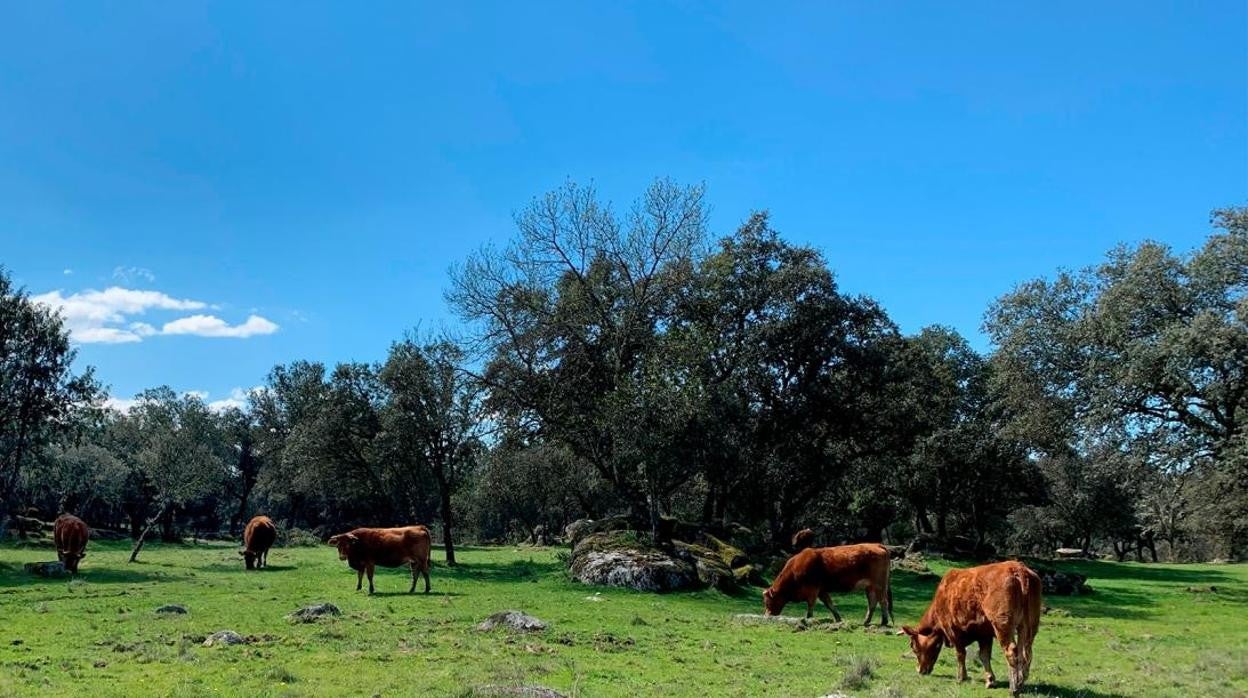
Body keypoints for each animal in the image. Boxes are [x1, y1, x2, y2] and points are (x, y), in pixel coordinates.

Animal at [753, 544, 893, 624]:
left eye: (767, 602)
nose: (766, 616)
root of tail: (877, 545)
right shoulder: (822, 590)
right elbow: (829, 604)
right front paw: (838, 619)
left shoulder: (813, 590)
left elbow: (811, 606)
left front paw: (808, 619)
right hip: (870, 587)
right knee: (873, 602)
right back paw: (866, 621)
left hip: (879, 584)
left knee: (883, 601)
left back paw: (884, 621)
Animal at [898, 559, 1043, 694]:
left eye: (913, 646)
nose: (919, 670)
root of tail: (1018, 568)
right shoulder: (984, 633)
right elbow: (984, 655)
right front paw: (990, 680)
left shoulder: (952, 630)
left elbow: (961, 653)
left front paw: (961, 677)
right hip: (1029, 625)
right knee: (1026, 652)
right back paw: (1021, 681)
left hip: (1002, 625)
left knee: (1011, 651)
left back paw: (1014, 688)